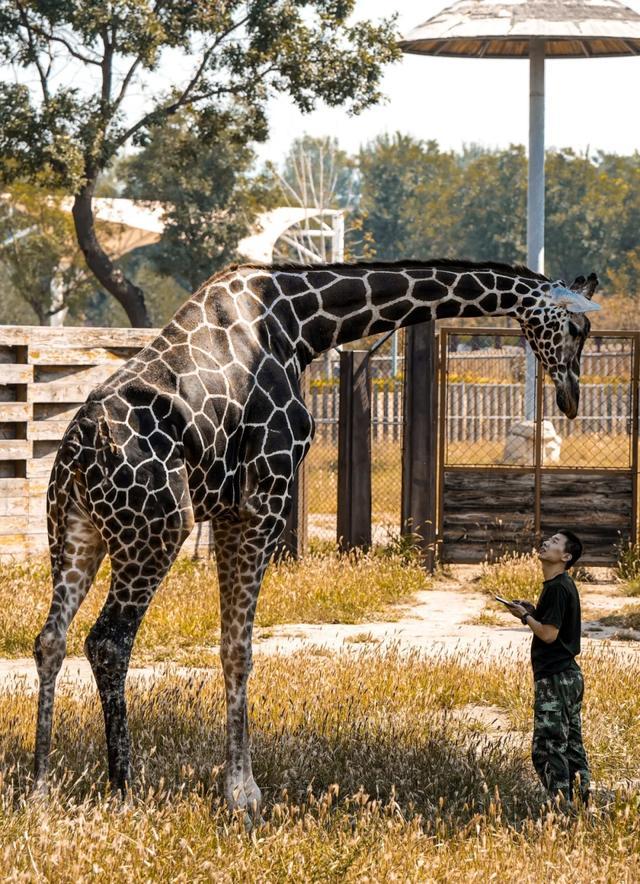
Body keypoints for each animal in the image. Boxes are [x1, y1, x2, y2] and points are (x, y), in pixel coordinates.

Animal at [31, 258, 600, 812]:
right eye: (576, 327)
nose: (571, 398)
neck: (303, 323)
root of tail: (81, 449)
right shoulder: (263, 495)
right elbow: (240, 648)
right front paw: (244, 795)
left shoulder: (229, 508)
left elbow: (229, 643)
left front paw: (238, 789)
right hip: (157, 530)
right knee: (108, 642)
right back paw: (123, 792)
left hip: (75, 531)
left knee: (51, 638)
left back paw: (41, 787)